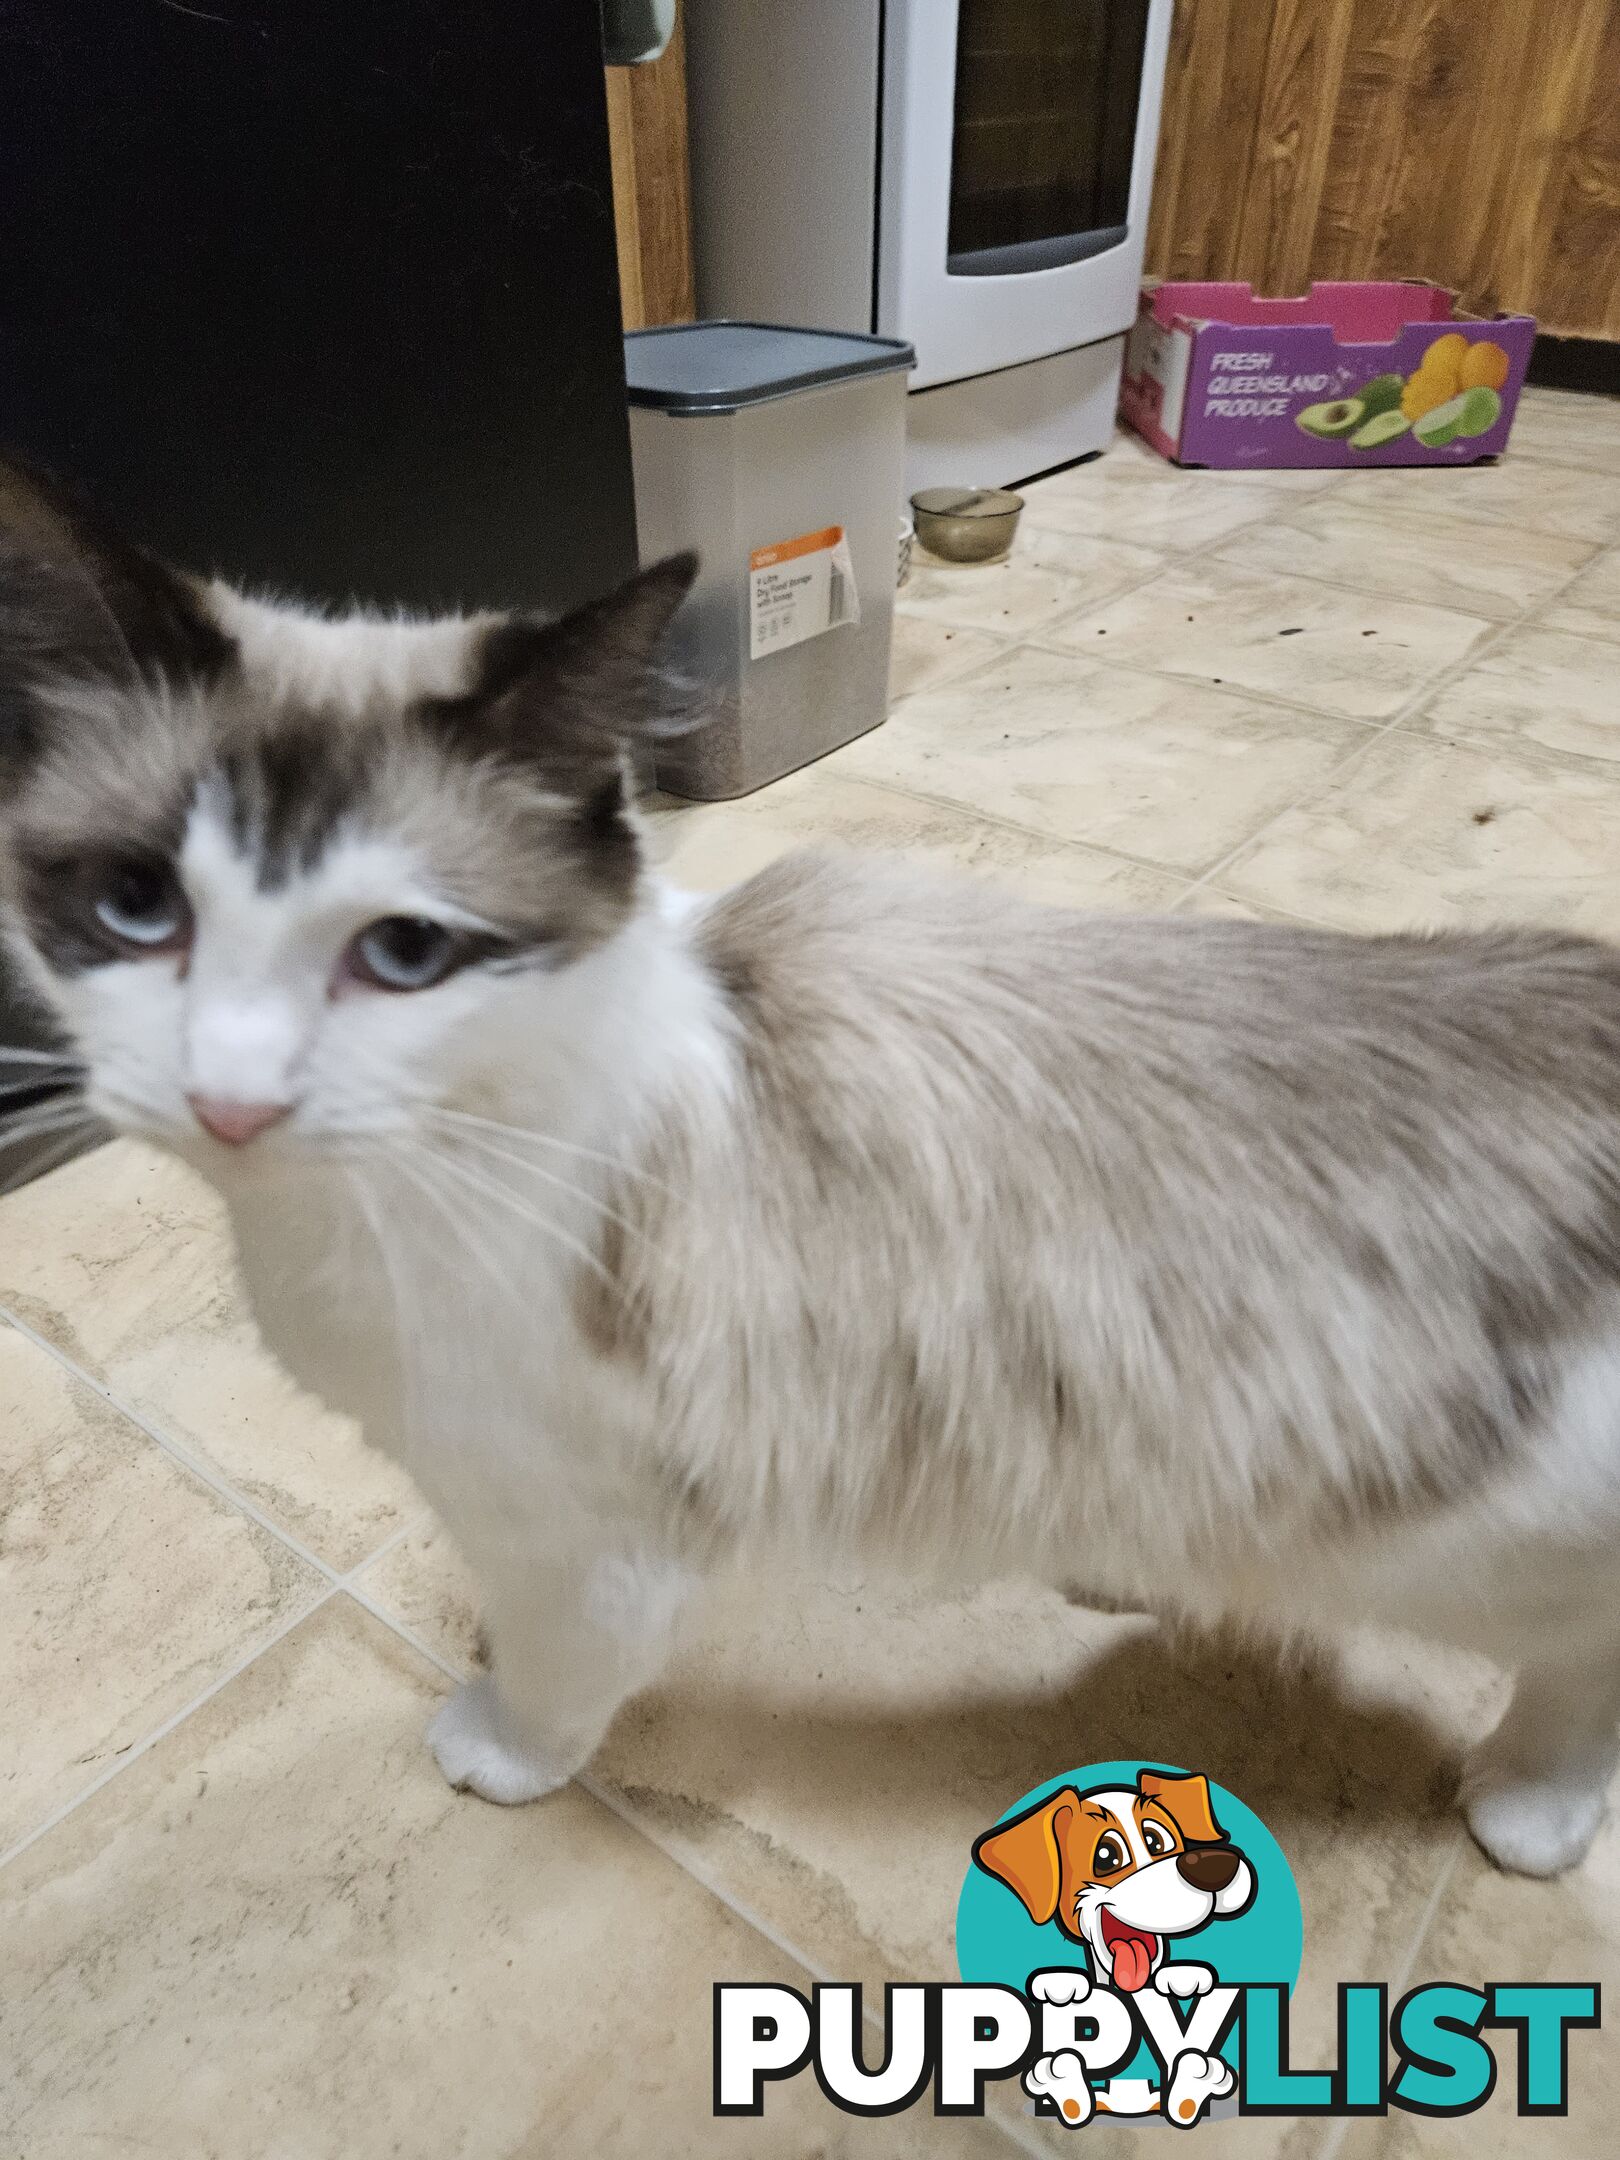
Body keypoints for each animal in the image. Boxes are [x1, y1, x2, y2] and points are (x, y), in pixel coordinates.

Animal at [3, 451, 1620, 1874]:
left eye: (404, 952)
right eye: (137, 906)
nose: (227, 1101)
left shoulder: (583, 1536)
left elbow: (551, 1688)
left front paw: (494, 1747)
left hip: (1477, 1549)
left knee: (1577, 1670)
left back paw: (1527, 1813)